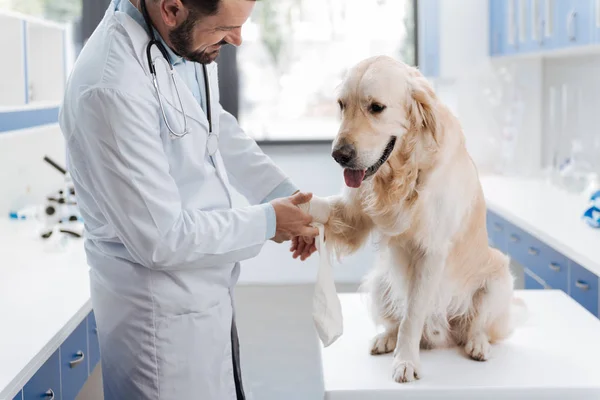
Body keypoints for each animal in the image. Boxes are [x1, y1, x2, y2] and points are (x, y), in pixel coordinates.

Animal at [304, 55, 524, 382]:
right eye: (342, 104)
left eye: (376, 107)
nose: (339, 155)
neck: (405, 172)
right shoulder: (354, 216)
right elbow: (324, 207)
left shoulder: (431, 252)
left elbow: (412, 316)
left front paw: (406, 362)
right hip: (380, 280)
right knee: (393, 320)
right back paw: (385, 338)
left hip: (497, 278)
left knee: (476, 325)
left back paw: (477, 344)